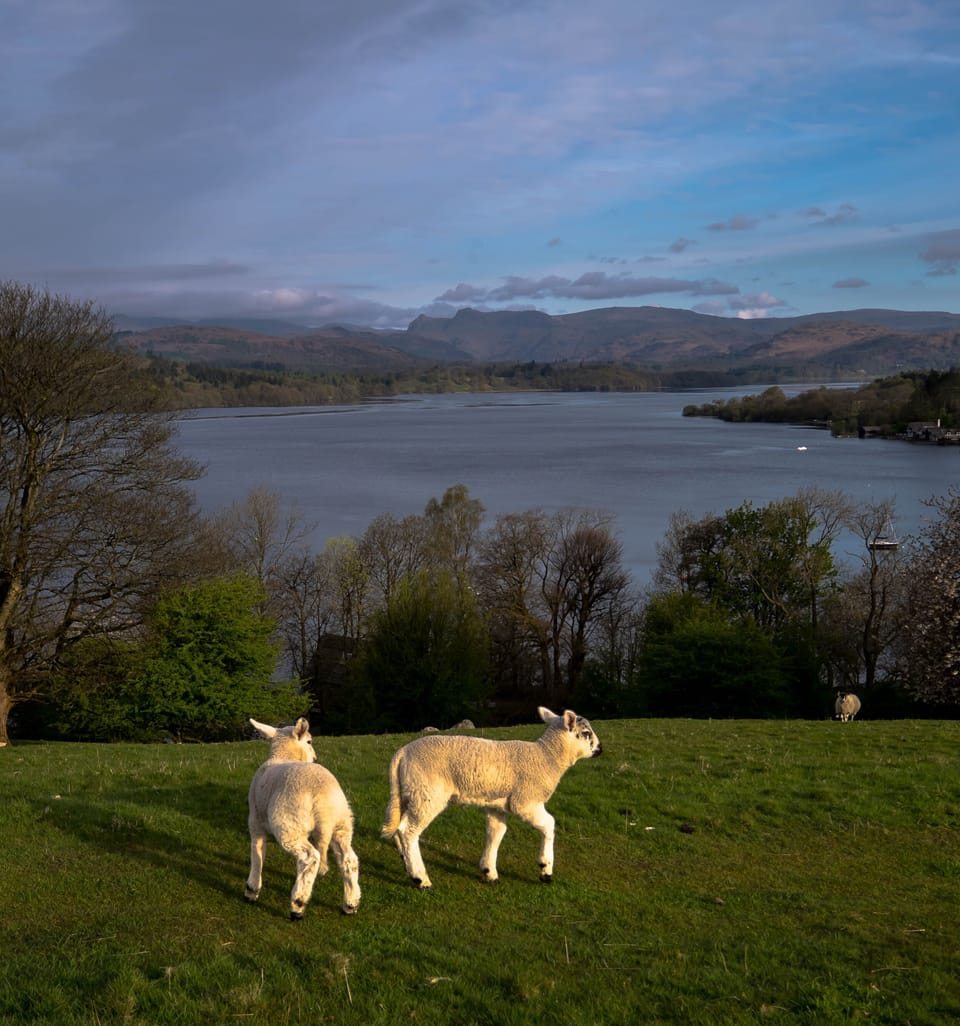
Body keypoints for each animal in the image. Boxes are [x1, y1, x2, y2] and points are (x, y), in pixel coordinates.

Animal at [244, 717, 361, 918]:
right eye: (310, 741)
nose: (315, 758)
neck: (283, 756)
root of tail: (322, 800)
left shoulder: (255, 820)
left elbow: (257, 852)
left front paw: (252, 890)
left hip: (290, 824)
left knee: (310, 857)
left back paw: (298, 904)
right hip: (342, 822)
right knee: (349, 859)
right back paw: (350, 904)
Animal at [381, 706, 602, 889]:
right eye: (586, 733)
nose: (600, 749)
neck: (547, 757)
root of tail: (402, 754)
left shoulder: (498, 804)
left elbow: (496, 833)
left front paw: (489, 871)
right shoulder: (525, 800)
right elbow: (549, 823)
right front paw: (545, 869)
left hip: (409, 792)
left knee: (399, 827)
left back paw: (406, 863)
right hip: (427, 793)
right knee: (408, 831)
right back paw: (420, 879)